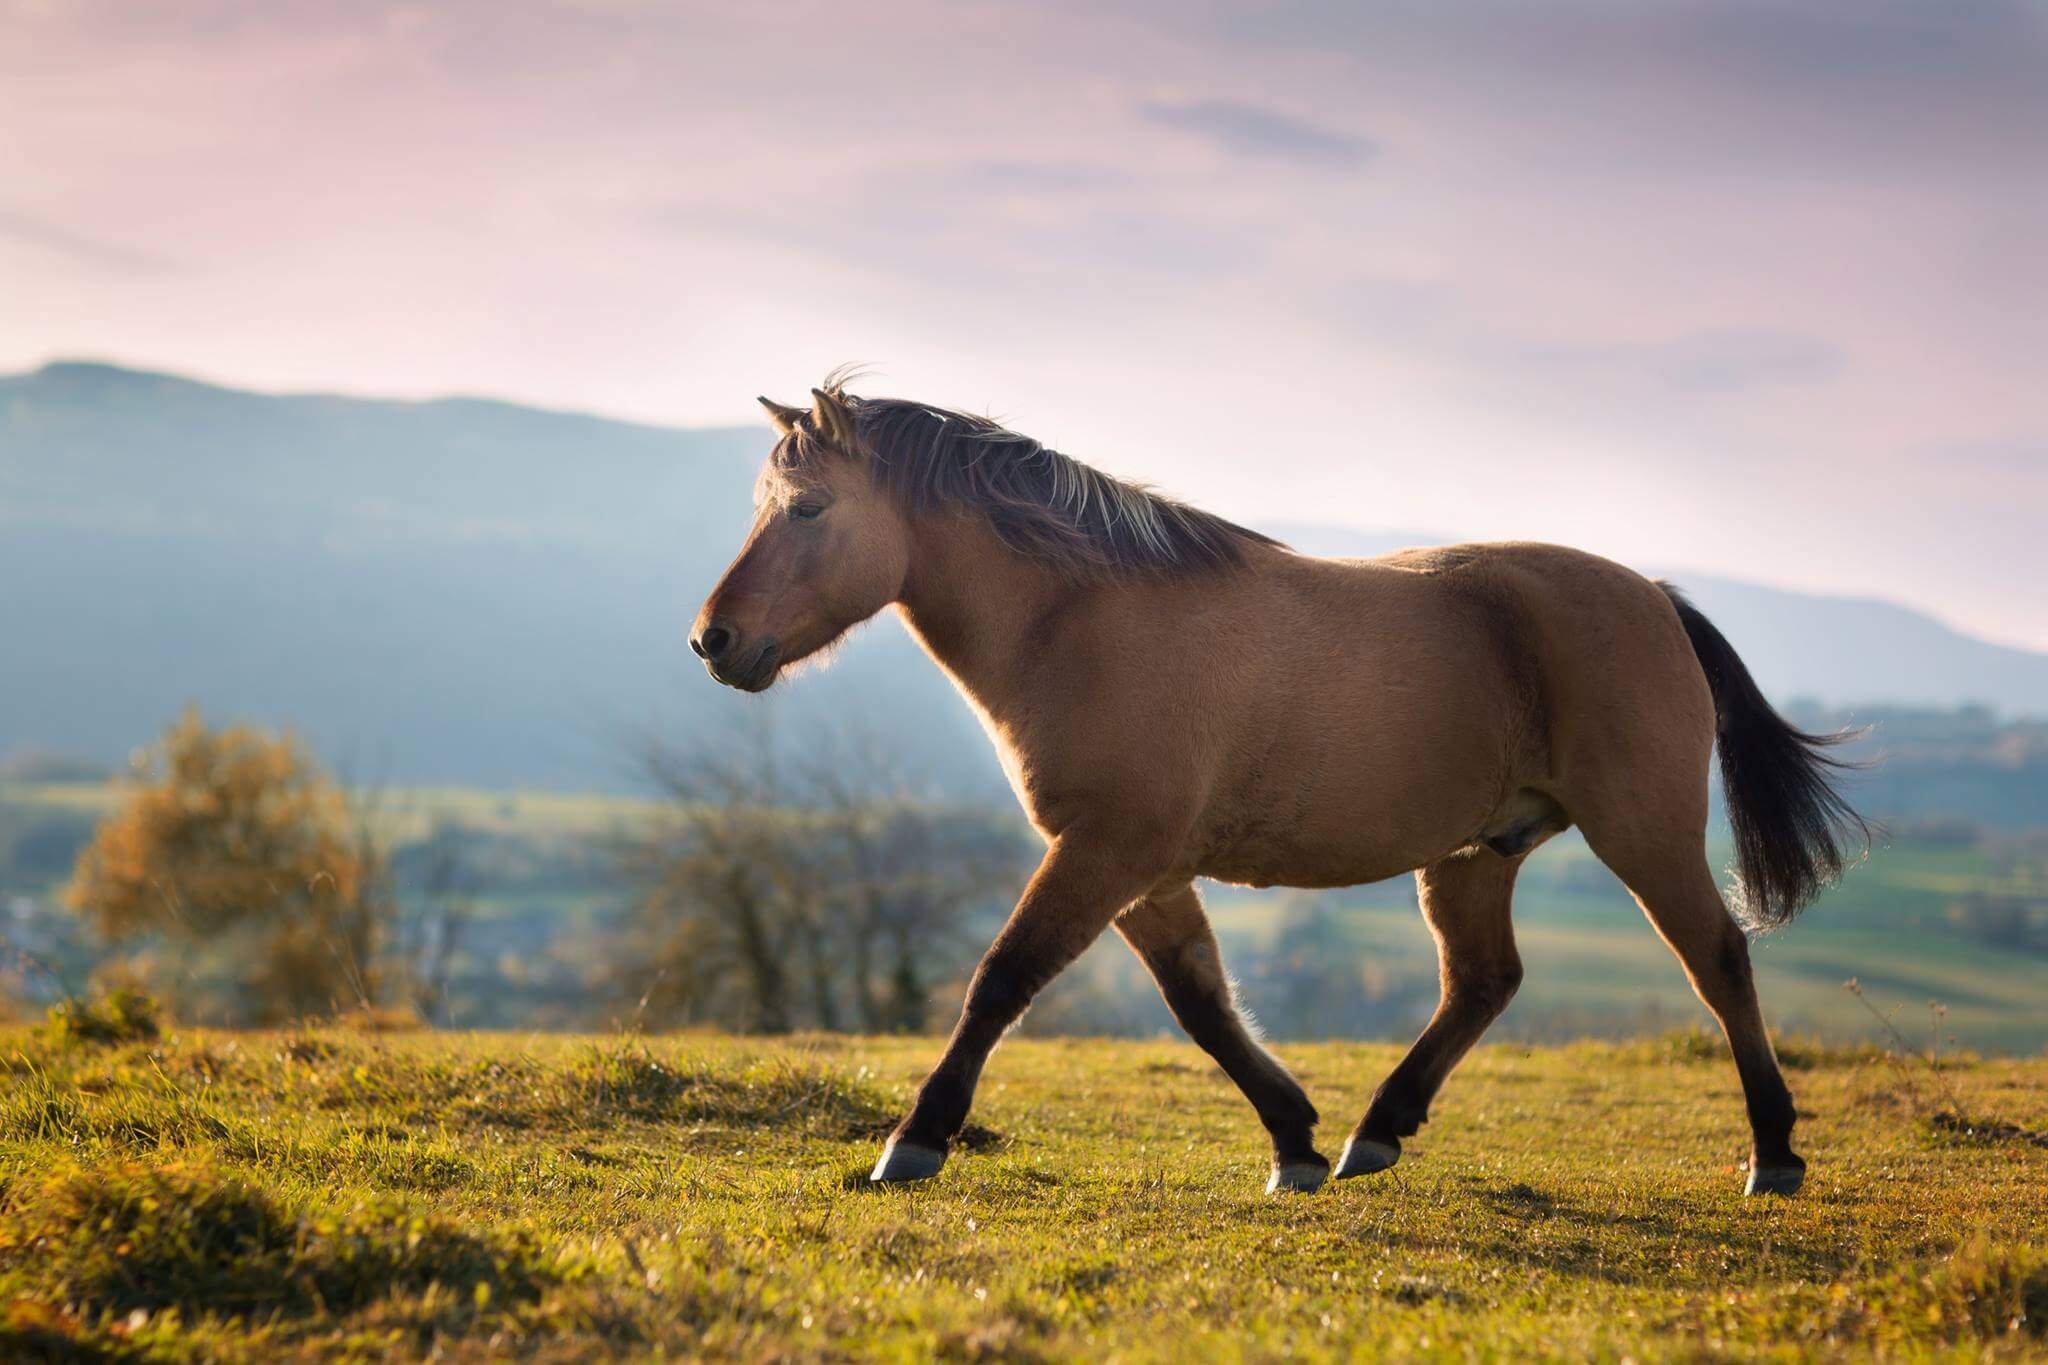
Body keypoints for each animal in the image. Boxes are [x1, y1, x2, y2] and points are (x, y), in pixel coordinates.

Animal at [692, 374, 1875, 1195]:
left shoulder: (1106, 852)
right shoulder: (1141, 869)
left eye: (807, 509)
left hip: (1641, 832)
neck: (1078, 618)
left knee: (1716, 961)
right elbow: (1203, 1005)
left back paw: (1772, 1153)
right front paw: (1294, 1139)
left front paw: (914, 1139)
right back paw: (1374, 1131)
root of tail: (1654, 595)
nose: (714, 640)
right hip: (1471, 854)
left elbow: (1001, 979)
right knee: (1482, 982)